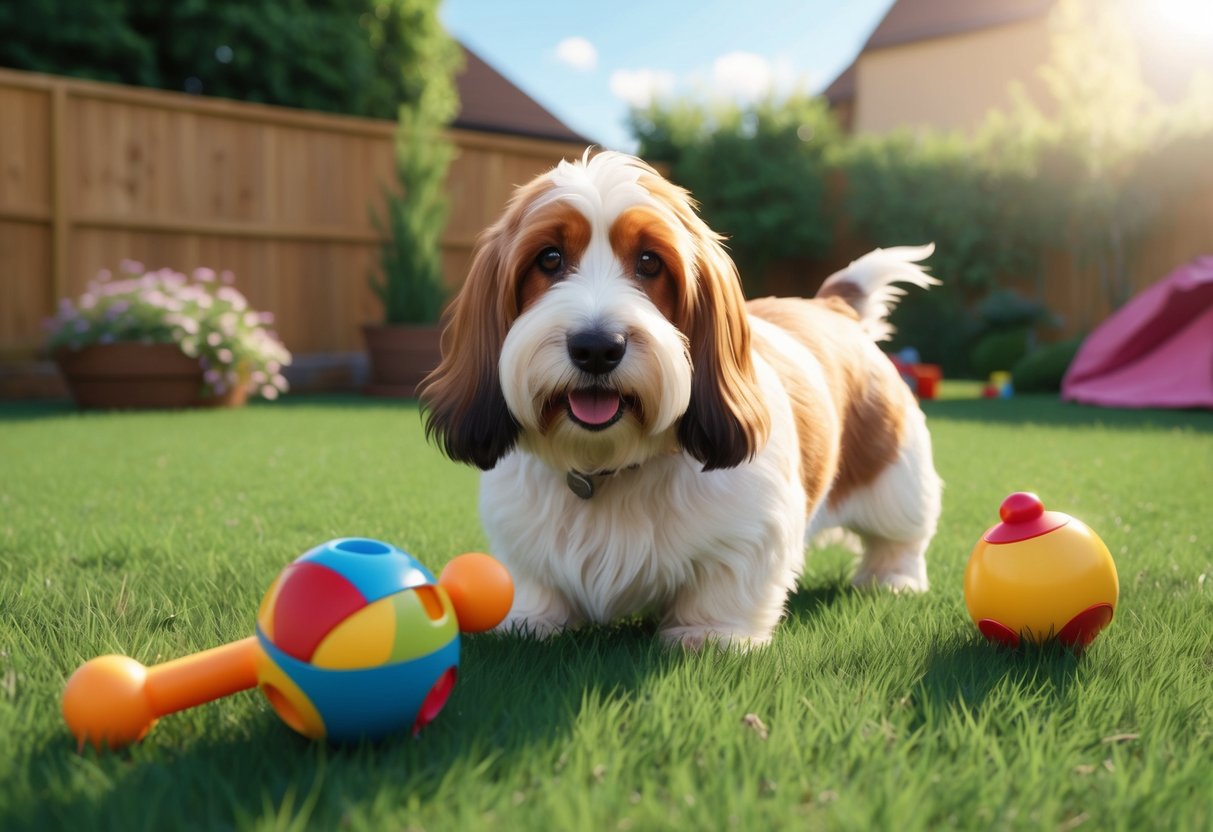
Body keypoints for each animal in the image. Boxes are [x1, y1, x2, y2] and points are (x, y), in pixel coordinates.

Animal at [422, 154, 941, 650]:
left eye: (650, 262)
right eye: (549, 259)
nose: (597, 347)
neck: (609, 464)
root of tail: (833, 308)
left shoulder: (749, 531)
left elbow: (726, 584)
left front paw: (709, 634)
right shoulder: (522, 538)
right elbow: (536, 584)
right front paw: (531, 621)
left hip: (896, 480)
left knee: (903, 535)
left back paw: (893, 578)